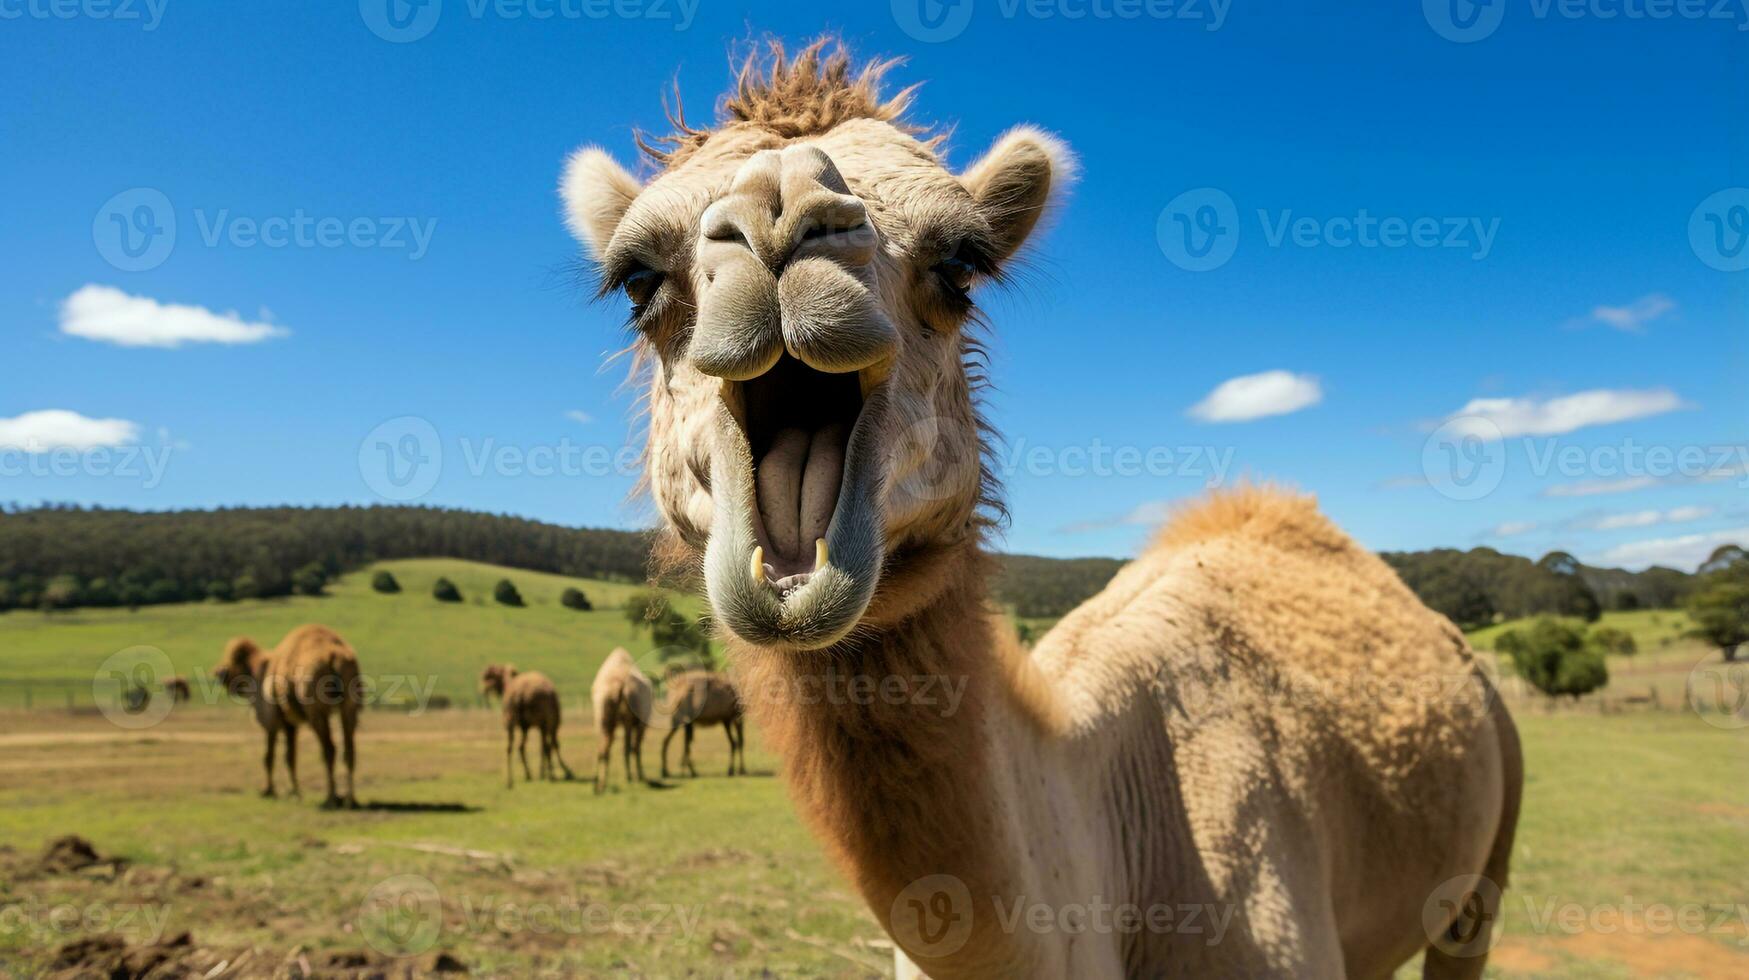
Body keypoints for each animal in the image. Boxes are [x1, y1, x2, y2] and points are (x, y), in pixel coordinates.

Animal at [212, 623, 362, 808]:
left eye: (232, 659)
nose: (219, 672)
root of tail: (335, 656)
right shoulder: (291, 723)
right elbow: (290, 756)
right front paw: (293, 793)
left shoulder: (273, 719)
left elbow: (269, 756)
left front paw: (269, 791)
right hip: (349, 706)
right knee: (349, 749)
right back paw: (350, 799)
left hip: (316, 709)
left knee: (329, 748)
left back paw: (331, 798)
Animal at [591, 647, 654, 791]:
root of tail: (618, 684)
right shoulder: (640, 723)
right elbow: (636, 748)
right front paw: (640, 776)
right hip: (628, 719)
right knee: (628, 747)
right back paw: (629, 778)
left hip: (601, 715)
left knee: (602, 748)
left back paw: (599, 785)